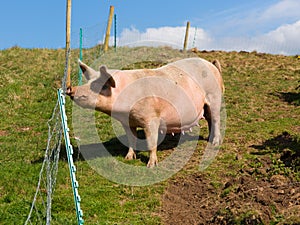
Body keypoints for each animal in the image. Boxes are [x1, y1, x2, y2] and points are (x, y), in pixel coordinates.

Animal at [66, 57, 225, 168]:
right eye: (88, 82)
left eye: (100, 86)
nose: (70, 88)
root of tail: (212, 65)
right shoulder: (127, 122)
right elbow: (131, 139)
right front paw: (128, 158)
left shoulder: (151, 118)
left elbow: (151, 143)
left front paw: (151, 165)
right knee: (209, 119)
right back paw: (209, 139)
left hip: (214, 96)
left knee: (216, 119)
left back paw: (215, 143)